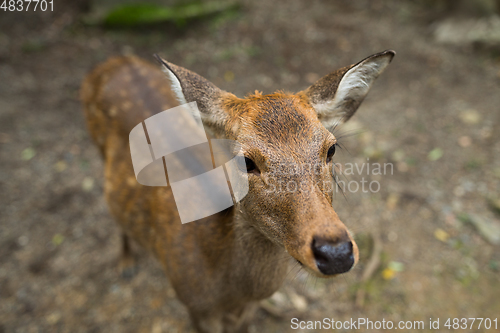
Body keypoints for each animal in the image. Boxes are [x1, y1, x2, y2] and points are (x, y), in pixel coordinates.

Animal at [81, 49, 394, 332]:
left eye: (331, 149)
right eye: (245, 160)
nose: (336, 253)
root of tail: (112, 61)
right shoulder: (193, 305)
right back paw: (126, 263)